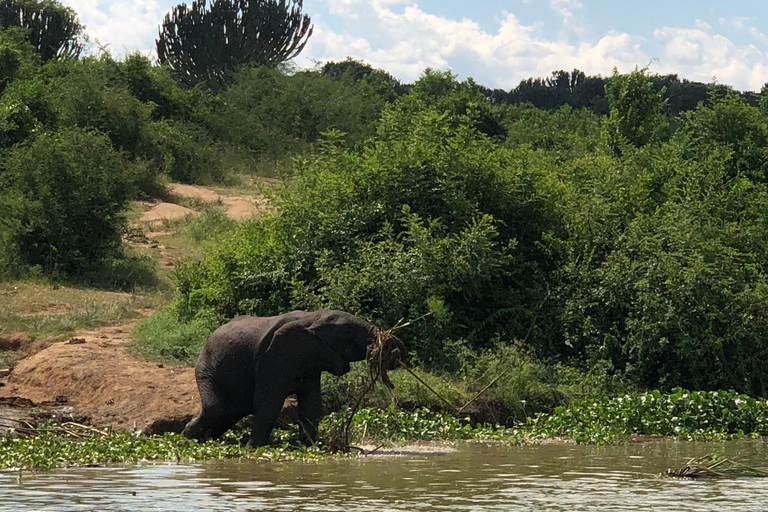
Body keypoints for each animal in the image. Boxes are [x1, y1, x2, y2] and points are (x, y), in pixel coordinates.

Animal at [184, 308, 408, 448]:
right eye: (347, 332)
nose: (393, 349)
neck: (312, 317)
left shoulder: (311, 361)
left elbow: (312, 405)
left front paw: (310, 446)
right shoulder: (271, 359)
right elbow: (269, 403)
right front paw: (252, 449)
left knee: (229, 413)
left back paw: (205, 439)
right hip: (206, 367)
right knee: (216, 408)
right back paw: (189, 437)